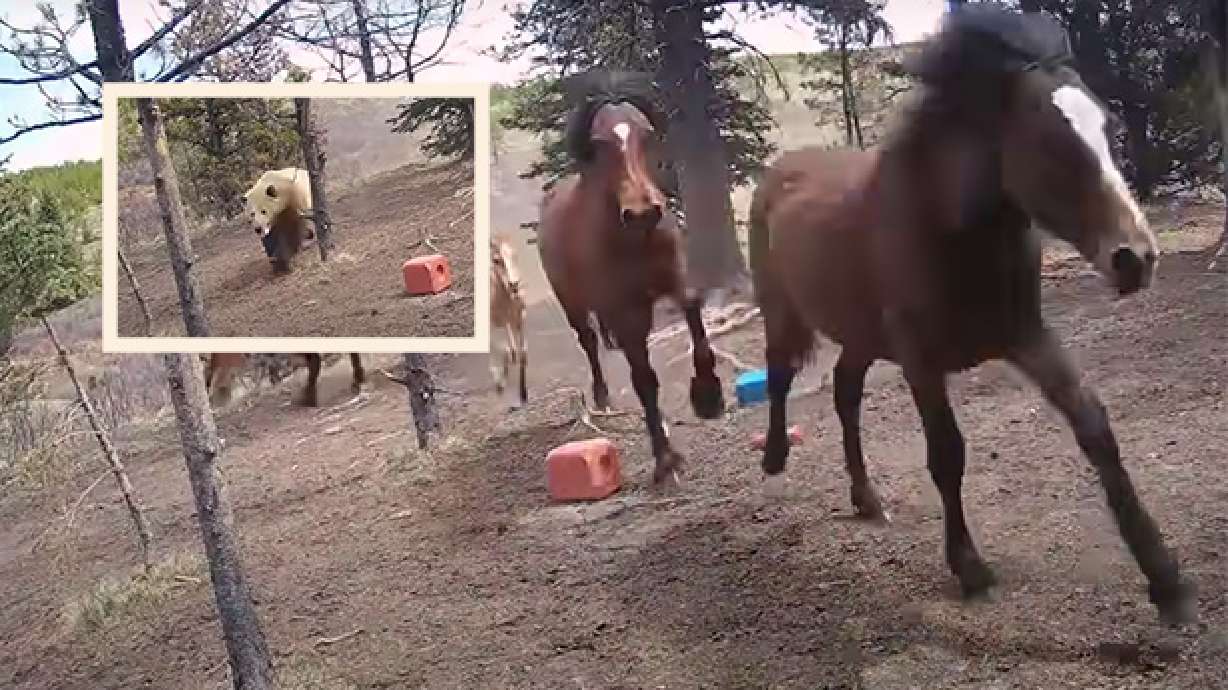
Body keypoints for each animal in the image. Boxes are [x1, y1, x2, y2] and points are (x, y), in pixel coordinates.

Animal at [536, 69, 725, 485]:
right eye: (598, 144)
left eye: (647, 135)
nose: (642, 213)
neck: (632, 240)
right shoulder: (624, 312)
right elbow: (644, 380)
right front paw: (665, 459)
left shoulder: (675, 280)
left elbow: (694, 317)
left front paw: (709, 396)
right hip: (575, 304)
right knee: (590, 342)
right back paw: (603, 397)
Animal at [748, 4, 1193, 623]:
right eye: (1049, 141)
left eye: (1107, 128)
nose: (1135, 259)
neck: (946, 230)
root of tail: (779, 171)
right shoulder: (919, 359)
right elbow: (946, 454)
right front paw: (969, 567)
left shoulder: (1028, 336)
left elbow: (1095, 429)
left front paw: (1166, 578)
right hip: (783, 312)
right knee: (780, 375)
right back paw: (774, 460)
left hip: (861, 334)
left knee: (844, 392)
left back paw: (867, 499)